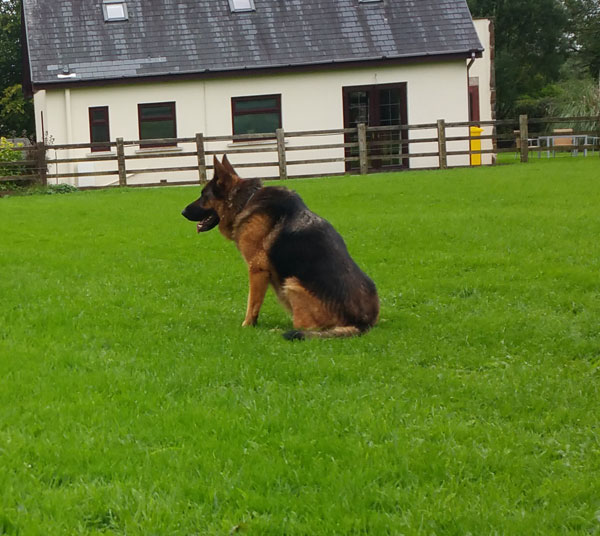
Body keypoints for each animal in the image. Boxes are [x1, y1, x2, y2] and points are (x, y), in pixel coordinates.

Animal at [182, 155, 380, 340]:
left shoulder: (257, 269)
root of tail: (361, 324)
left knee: (307, 327)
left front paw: (247, 326)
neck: (245, 201)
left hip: (291, 285)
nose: (182, 212)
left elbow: (252, 304)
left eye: (203, 195)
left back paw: (277, 330)